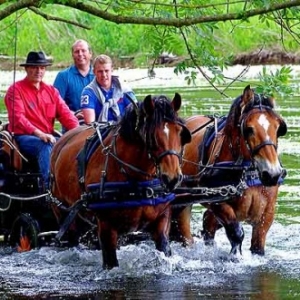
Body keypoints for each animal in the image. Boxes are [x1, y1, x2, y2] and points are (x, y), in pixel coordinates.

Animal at [50, 94, 191, 270]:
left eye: (180, 133)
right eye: (152, 136)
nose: (172, 178)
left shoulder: (162, 219)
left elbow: (164, 250)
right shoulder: (106, 226)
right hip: (64, 215)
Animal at [171, 84, 286, 255]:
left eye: (278, 128)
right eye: (249, 129)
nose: (273, 174)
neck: (246, 173)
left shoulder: (267, 214)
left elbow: (258, 246)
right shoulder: (217, 202)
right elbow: (236, 233)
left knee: (208, 224)